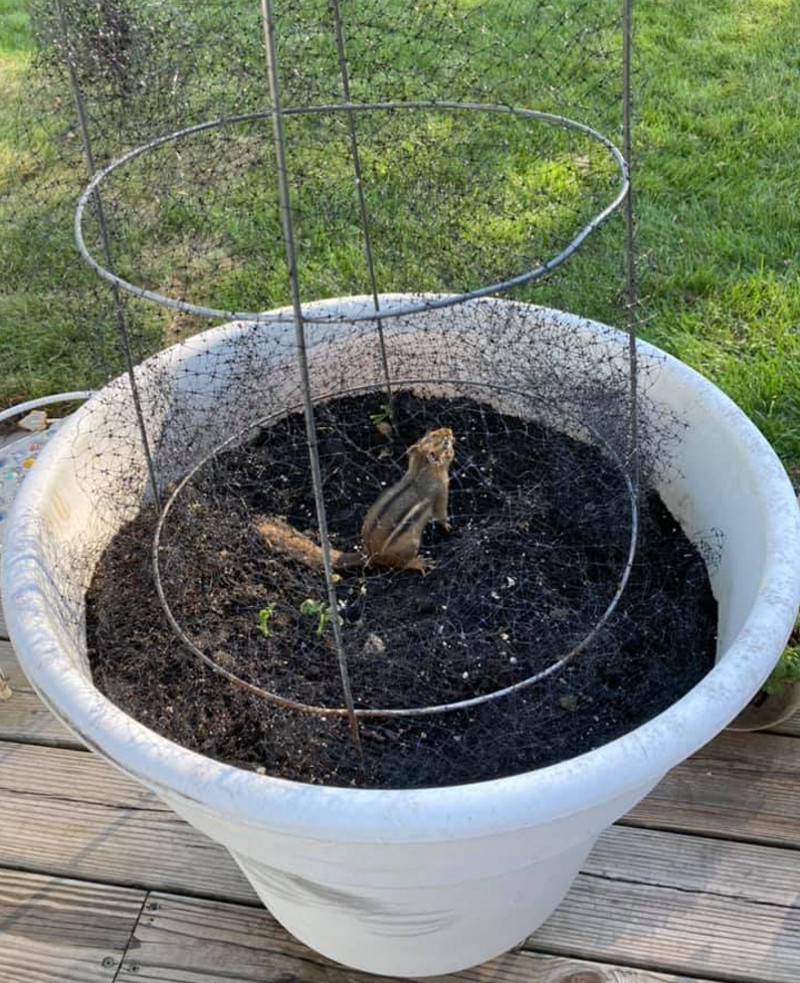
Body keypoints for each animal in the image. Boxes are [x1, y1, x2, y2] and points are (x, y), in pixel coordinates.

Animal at [256, 427, 455, 573]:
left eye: (430, 433)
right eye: (445, 444)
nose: (449, 430)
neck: (421, 470)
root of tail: (370, 555)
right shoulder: (441, 492)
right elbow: (441, 514)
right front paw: (448, 526)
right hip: (411, 545)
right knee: (400, 564)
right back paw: (419, 563)